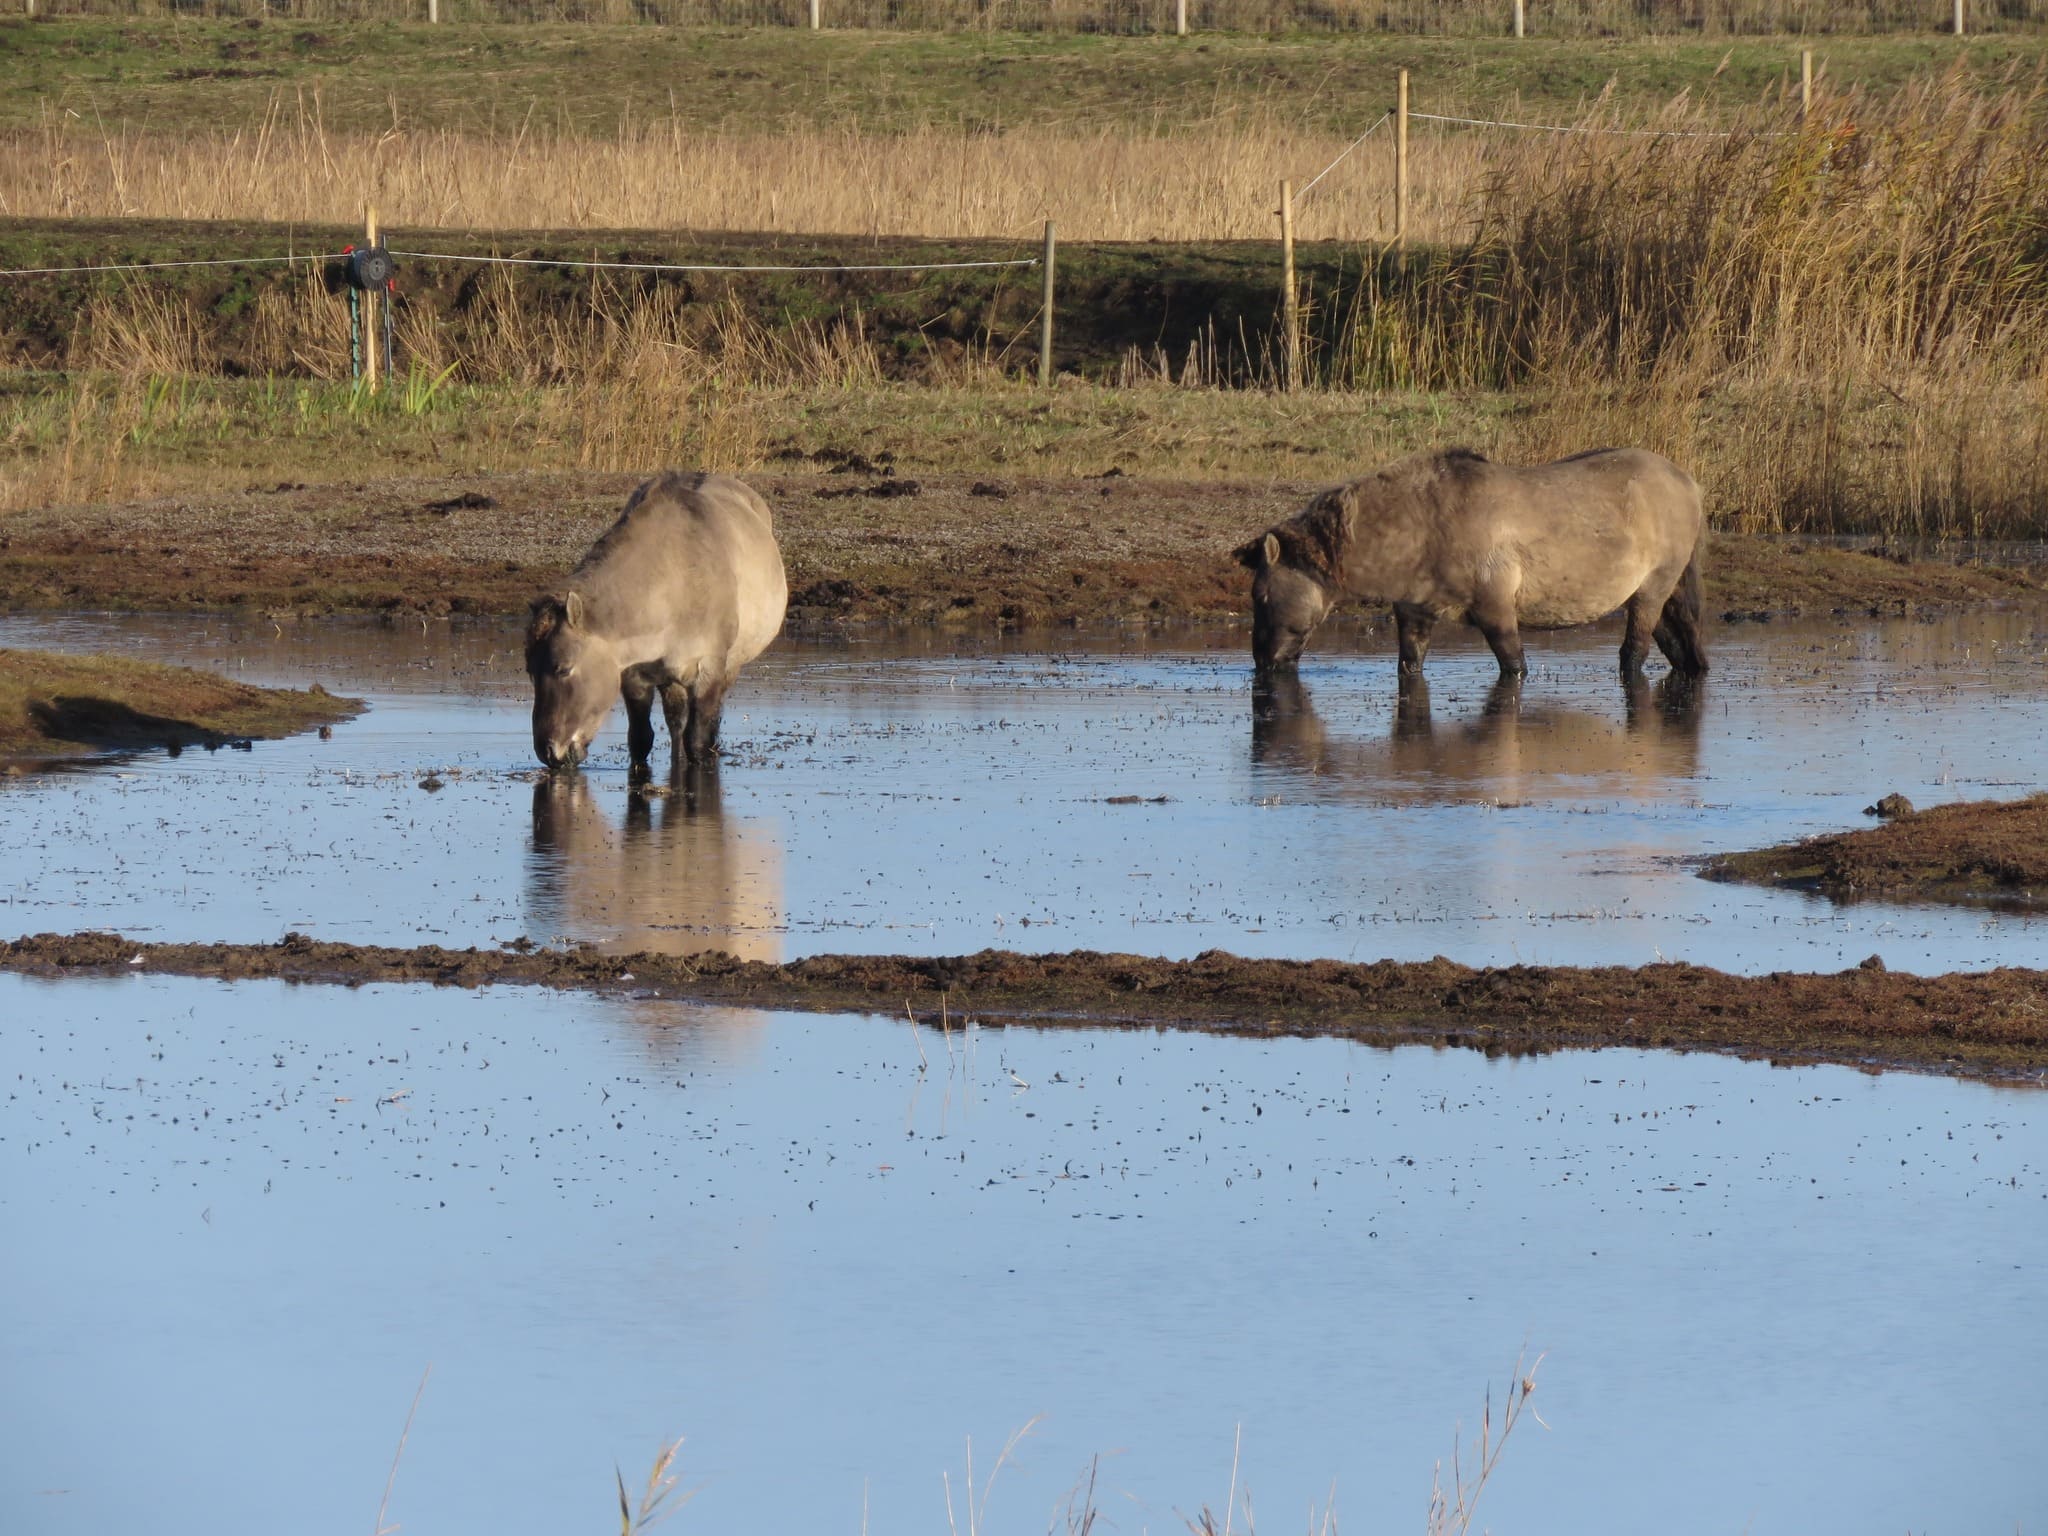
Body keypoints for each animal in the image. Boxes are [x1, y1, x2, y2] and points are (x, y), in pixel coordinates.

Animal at [524, 468, 786, 774]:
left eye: (564, 669)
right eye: (530, 672)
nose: (548, 752)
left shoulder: (708, 670)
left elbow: (698, 739)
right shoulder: (634, 677)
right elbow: (641, 739)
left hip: (728, 667)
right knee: (676, 723)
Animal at [1236, 448, 1703, 684]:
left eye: (1261, 595)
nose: (1261, 661)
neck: (1425, 526)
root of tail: (1686, 480)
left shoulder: (1496, 611)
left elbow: (1514, 666)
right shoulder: (1415, 613)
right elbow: (1409, 664)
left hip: (1650, 593)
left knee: (1634, 653)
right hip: (1662, 596)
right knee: (1684, 649)